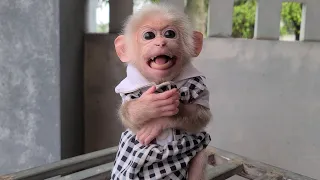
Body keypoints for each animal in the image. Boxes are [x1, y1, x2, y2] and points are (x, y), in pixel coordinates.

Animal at [111, 3, 211, 180]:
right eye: (149, 36)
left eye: (170, 34)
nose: (161, 43)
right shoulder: (128, 86)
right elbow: (131, 119)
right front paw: (148, 106)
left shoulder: (199, 83)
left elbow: (201, 114)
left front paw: (164, 119)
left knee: (200, 152)